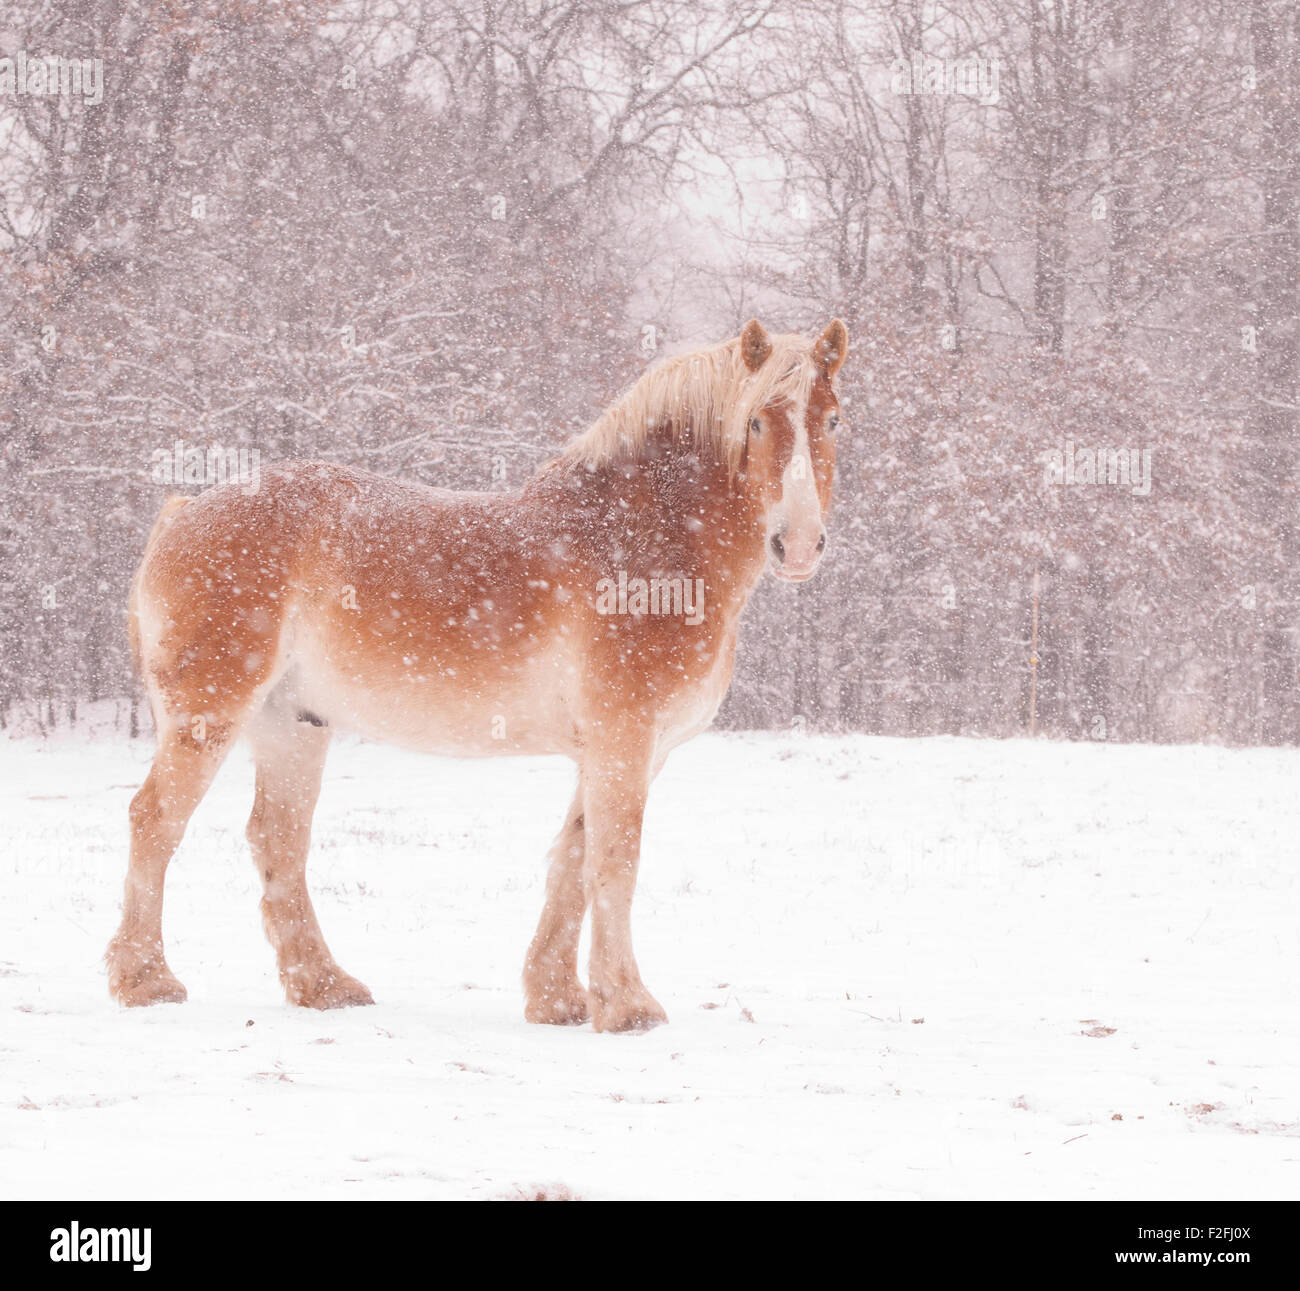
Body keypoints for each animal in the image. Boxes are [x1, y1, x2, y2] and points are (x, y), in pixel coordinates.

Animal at [106, 317, 848, 1032]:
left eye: (833, 418)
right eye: (757, 421)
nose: (797, 544)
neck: (640, 539)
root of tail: (183, 514)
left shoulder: (624, 750)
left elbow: (573, 860)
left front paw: (558, 999)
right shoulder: (624, 739)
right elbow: (614, 859)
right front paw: (627, 1005)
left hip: (292, 728)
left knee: (277, 841)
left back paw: (325, 986)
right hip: (210, 713)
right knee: (155, 819)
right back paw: (146, 980)